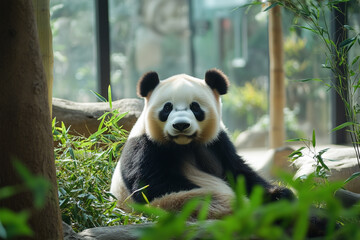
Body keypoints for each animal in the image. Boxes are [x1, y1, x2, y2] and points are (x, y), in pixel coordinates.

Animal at [109, 68, 292, 218]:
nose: (181, 125)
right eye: (167, 108)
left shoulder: (216, 143)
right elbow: (152, 185)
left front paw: (277, 194)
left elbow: (238, 172)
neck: (184, 144)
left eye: (195, 107)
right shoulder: (145, 146)